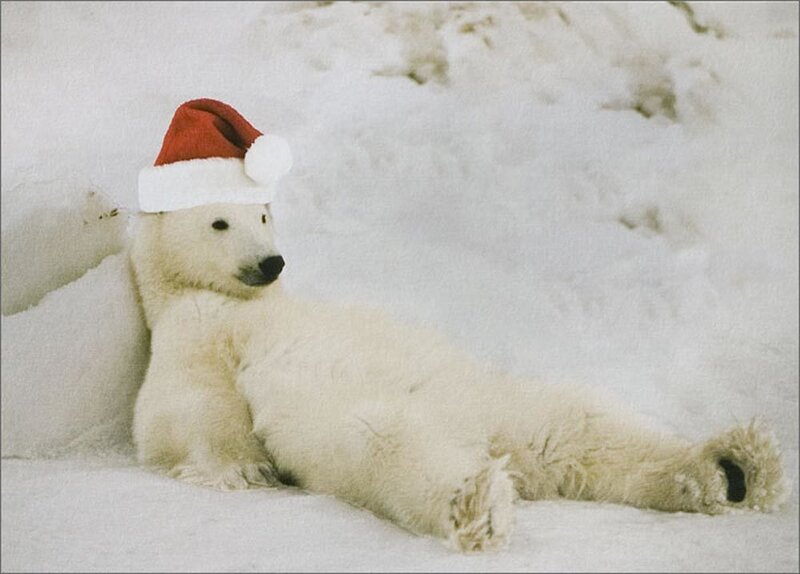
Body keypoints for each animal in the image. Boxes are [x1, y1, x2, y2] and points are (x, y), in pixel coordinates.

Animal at [130, 201, 787, 552]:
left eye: (264, 215)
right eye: (220, 222)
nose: (272, 262)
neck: (239, 301)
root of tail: (490, 441)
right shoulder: (193, 328)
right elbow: (180, 407)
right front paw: (243, 468)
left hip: (505, 401)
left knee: (582, 428)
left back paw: (732, 469)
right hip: (361, 419)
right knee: (387, 443)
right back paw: (479, 504)